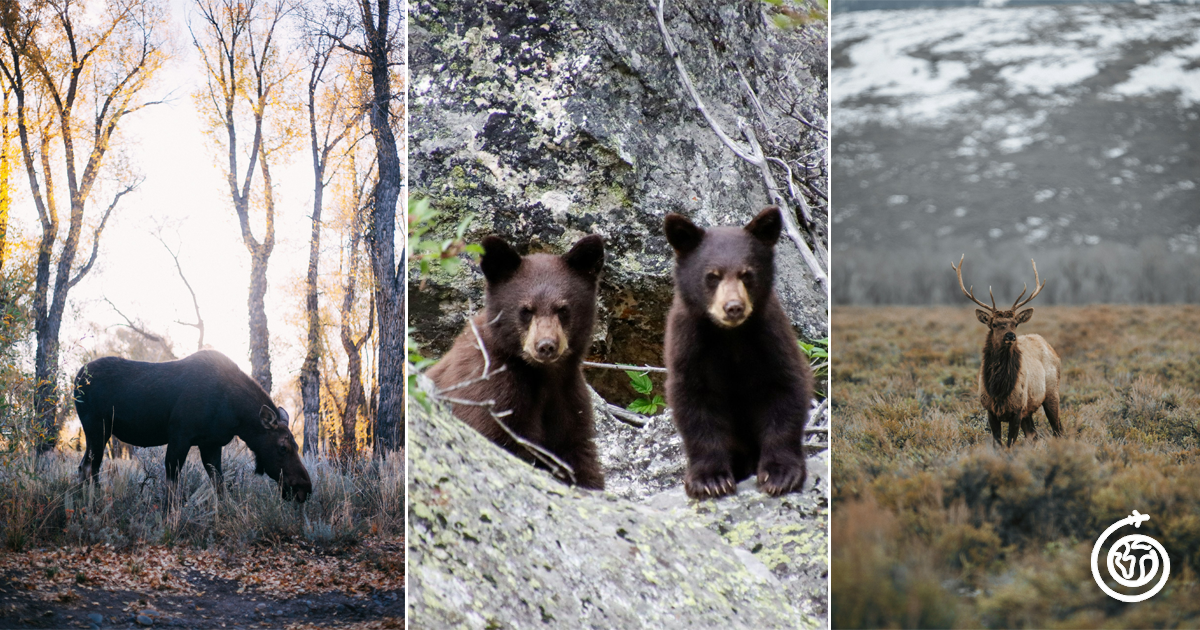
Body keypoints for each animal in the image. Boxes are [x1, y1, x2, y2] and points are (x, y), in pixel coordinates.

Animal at [72, 348, 312, 501]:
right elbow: (172, 485)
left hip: (98, 432)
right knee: (90, 467)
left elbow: (220, 486)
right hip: (97, 428)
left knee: (84, 466)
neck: (235, 415)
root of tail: (76, 378)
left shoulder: (211, 444)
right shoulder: (180, 435)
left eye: (297, 446)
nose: (305, 488)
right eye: (283, 447)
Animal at [950, 255, 1065, 446]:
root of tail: (1049, 346)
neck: (999, 390)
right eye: (995, 324)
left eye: (1015, 323)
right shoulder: (990, 410)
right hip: (1030, 409)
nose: (1011, 336)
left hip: (1052, 392)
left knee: (1058, 430)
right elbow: (998, 444)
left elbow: (1010, 443)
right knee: (1033, 435)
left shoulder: (1017, 409)